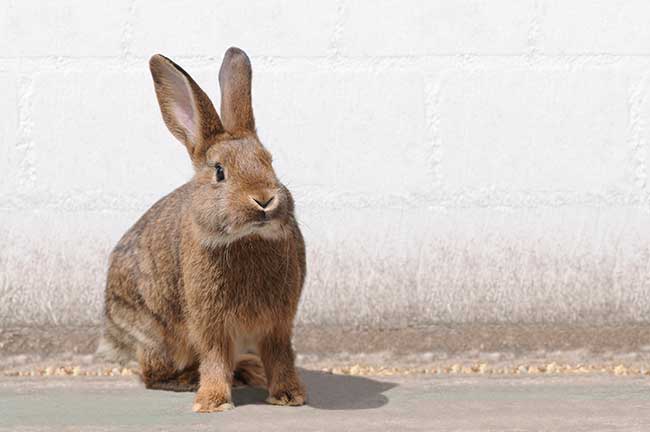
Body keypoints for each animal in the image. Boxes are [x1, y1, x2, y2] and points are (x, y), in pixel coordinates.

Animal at [97, 46, 308, 412]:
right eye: (219, 171)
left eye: (269, 161)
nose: (264, 199)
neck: (246, 239)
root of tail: (113, 331)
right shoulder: (210, 324)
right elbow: (214, 358)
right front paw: (212, 403)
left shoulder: (278, 324)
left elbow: (280, 356)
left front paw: (288, 396)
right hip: (158, 335)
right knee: (153, 373)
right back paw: (191, 380)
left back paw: (249, 371)